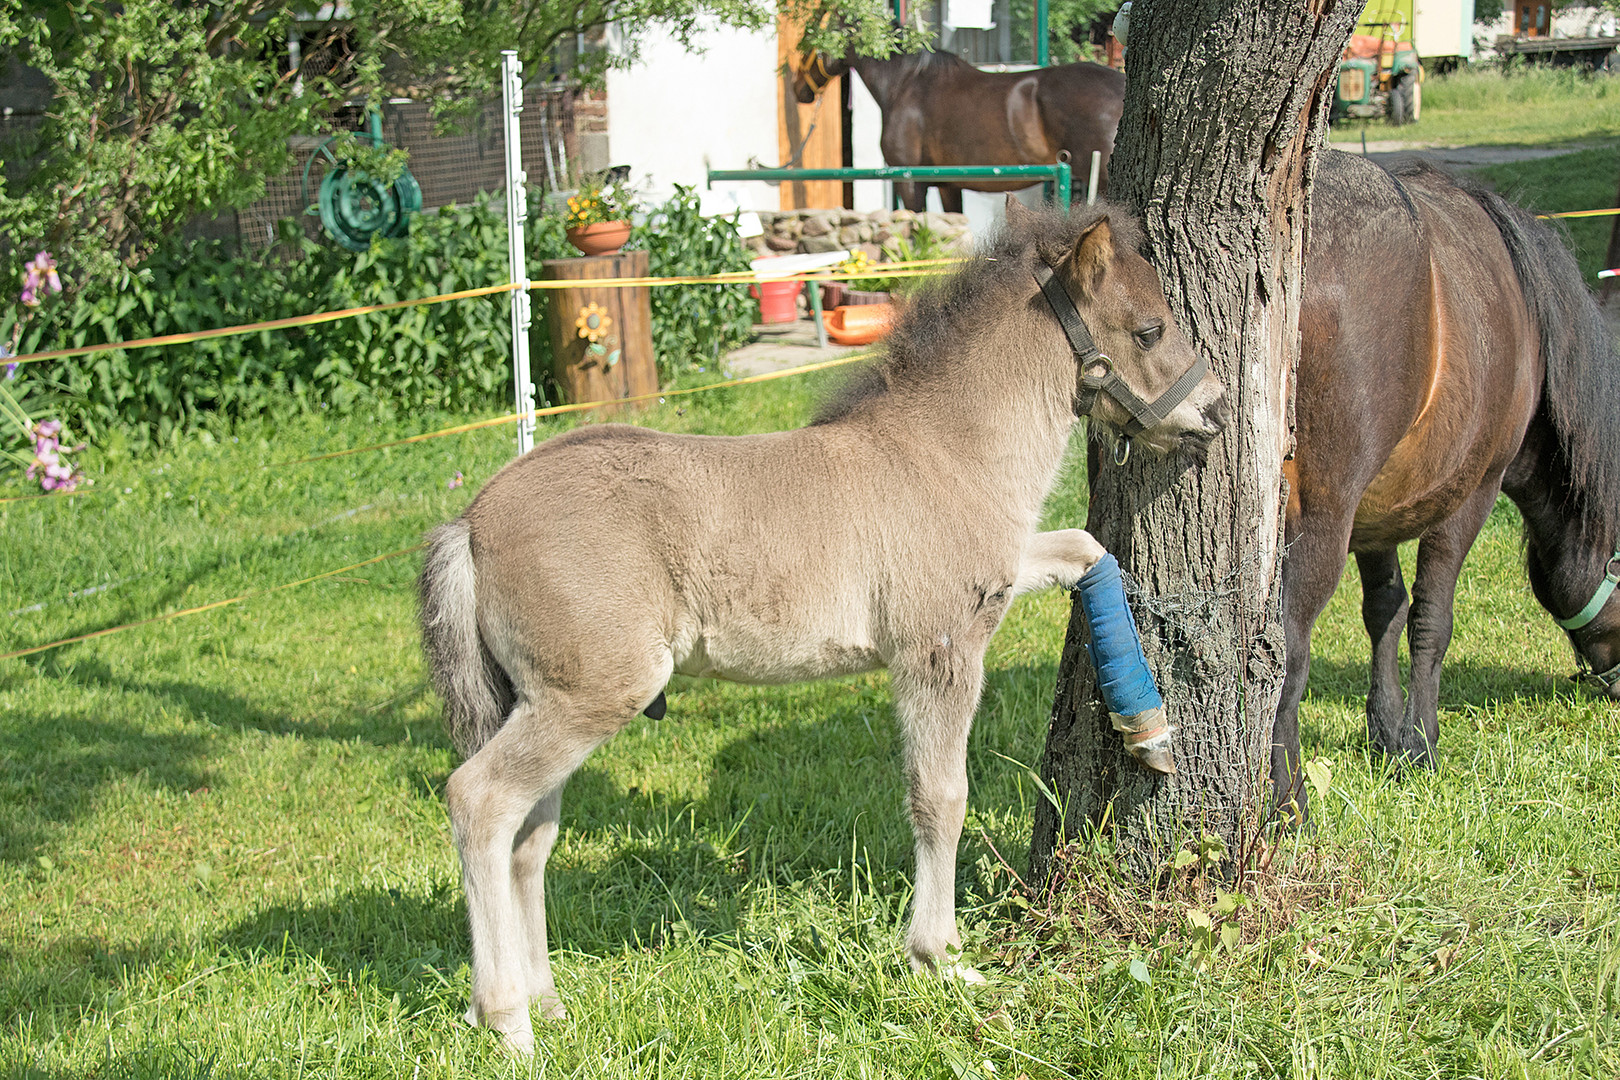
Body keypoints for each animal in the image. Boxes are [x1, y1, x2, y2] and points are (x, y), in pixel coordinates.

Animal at [421, 198, 1224, 1049]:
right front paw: (939, 958)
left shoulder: (1006, 571)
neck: (947, 453)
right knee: (479, 802)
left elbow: (1090, 550)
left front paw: (1149, 731)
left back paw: (546, 1000)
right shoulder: (939, 651)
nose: (1213, 412)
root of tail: (471, 522)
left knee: (528, 840)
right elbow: (941, 797)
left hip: (542, 701)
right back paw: (506, 1019)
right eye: (1148, 329)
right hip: (591, 696)